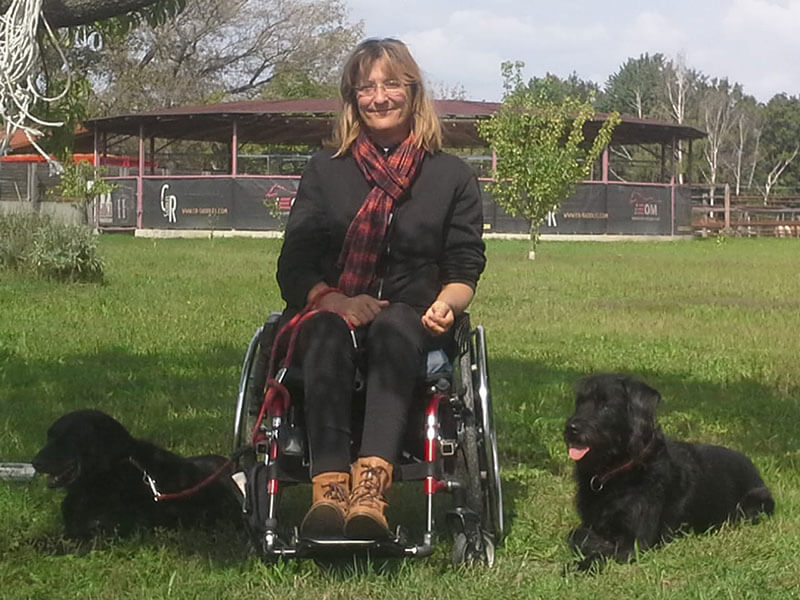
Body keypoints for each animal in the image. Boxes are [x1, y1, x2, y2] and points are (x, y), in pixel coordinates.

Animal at [563, 373, 774, 570]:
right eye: (580, 403)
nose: (571, 428)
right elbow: (576, 534)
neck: (620, 468)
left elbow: (604, 550)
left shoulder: (636, 543)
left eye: (605, 406)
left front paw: (580, 564)